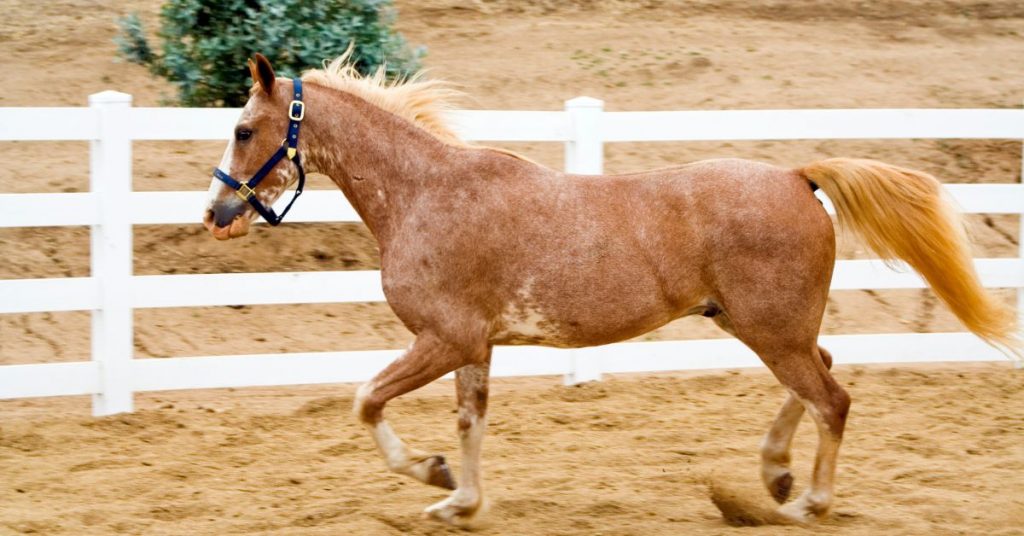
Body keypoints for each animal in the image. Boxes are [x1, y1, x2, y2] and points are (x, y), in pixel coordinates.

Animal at [203, 52, 1017, 526]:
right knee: (823, 375)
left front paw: (430, 475)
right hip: (760, 325)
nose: (214, 214)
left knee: (832, 397)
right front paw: (459, 498)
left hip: (769, 329)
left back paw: (807, 499)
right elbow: (471, 422)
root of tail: (797, 175)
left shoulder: (443, 339)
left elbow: (367, 399)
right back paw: (775, 477)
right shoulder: (474, 346)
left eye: (243, 130)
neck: (426, 194)